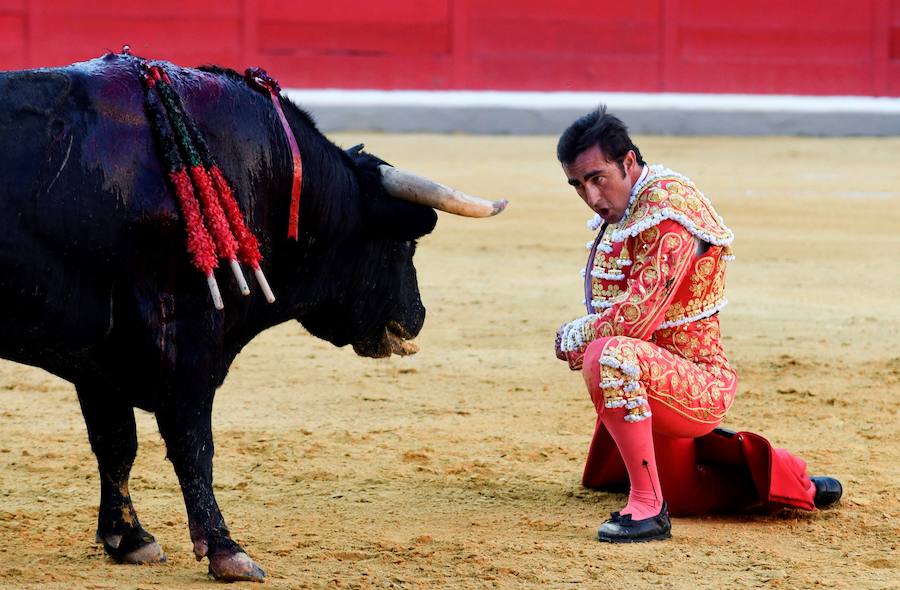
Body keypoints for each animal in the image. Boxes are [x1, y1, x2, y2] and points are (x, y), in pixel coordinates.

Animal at [0, 54, 450, 584]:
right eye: (406, 244)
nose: (418, 315)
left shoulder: (97, 358)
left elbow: (116, 443)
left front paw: (129, 539)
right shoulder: (188, 339)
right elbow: (193, 445)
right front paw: (226, 550)